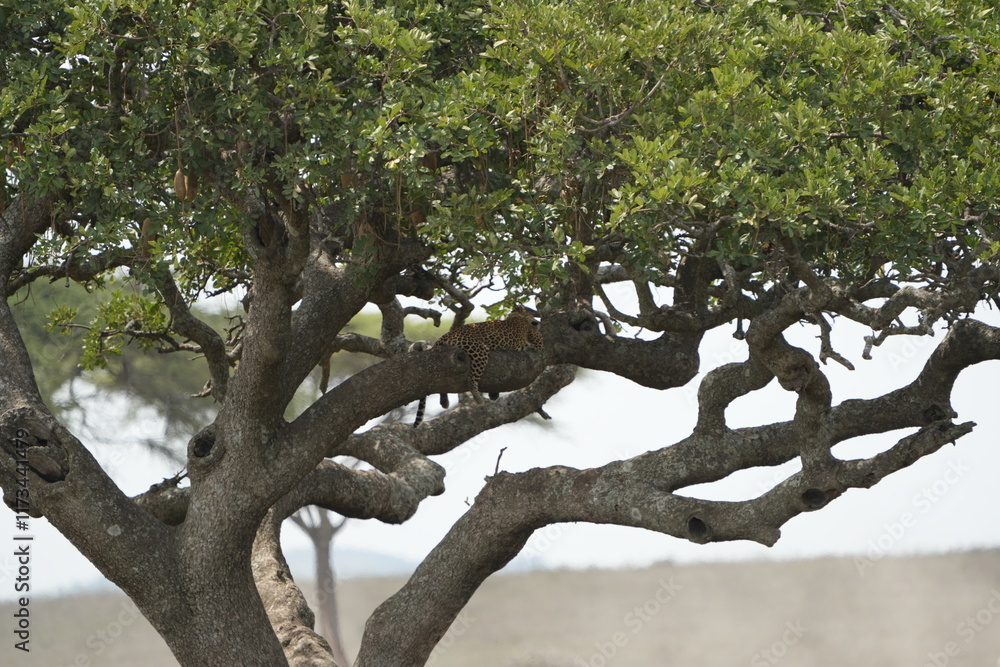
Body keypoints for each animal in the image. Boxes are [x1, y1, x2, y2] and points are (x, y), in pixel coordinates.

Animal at [413, 310, 543, 426]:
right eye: (532, 316)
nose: (537, 321)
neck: (518, 318)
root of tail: (448, 334)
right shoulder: (538, 341)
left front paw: (494, 394)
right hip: (479, 350)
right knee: (471, 379)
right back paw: (478, 398)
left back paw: (444, 401)